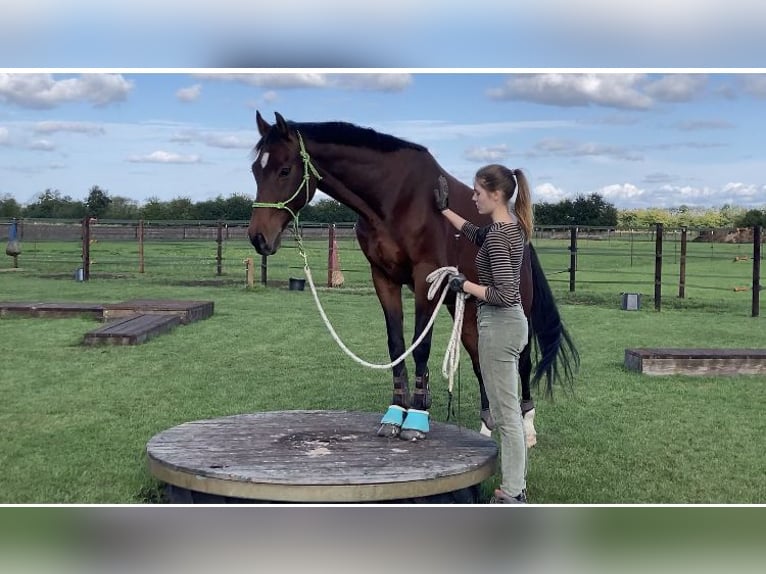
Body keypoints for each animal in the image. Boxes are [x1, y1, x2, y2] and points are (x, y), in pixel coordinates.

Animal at [249, 110, 580, 446]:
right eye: (255, 170)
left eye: (285, 170)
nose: (258, 237)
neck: (394, 198)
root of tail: (522, 236)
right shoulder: (383, 278)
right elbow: (396, 345)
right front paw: (395, 413)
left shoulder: (426, 277)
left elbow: (420, 346)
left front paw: (417, 417)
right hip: (467, 310)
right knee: (479, 359)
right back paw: (487, 426)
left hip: (515, 305)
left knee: (522, 361)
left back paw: (527, 429)